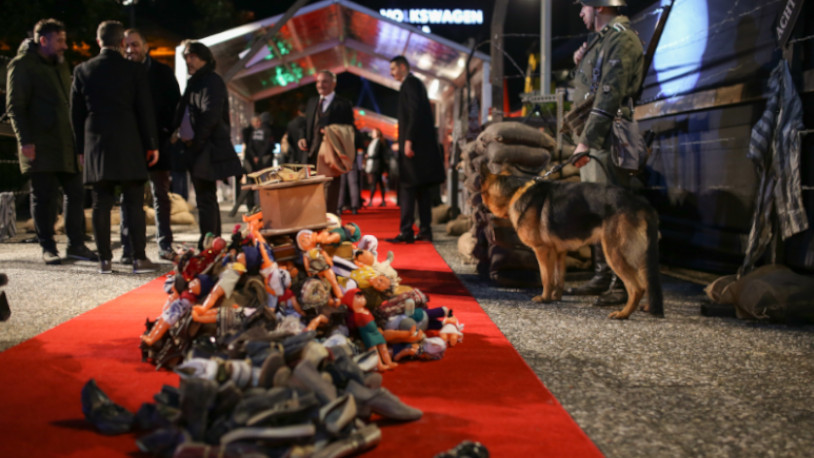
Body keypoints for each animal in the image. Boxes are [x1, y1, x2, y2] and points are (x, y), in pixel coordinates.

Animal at [484, 170, 664, 320]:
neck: (516, 190)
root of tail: (643, 204)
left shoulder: (543, 251)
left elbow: (546, 277)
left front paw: (544, 298)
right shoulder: (559, 253)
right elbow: (558, 277)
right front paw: (555, 297)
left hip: (615, 253)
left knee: (637, 287)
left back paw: (623, 314)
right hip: (639, 255)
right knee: (647, 281)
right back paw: (646, 307)